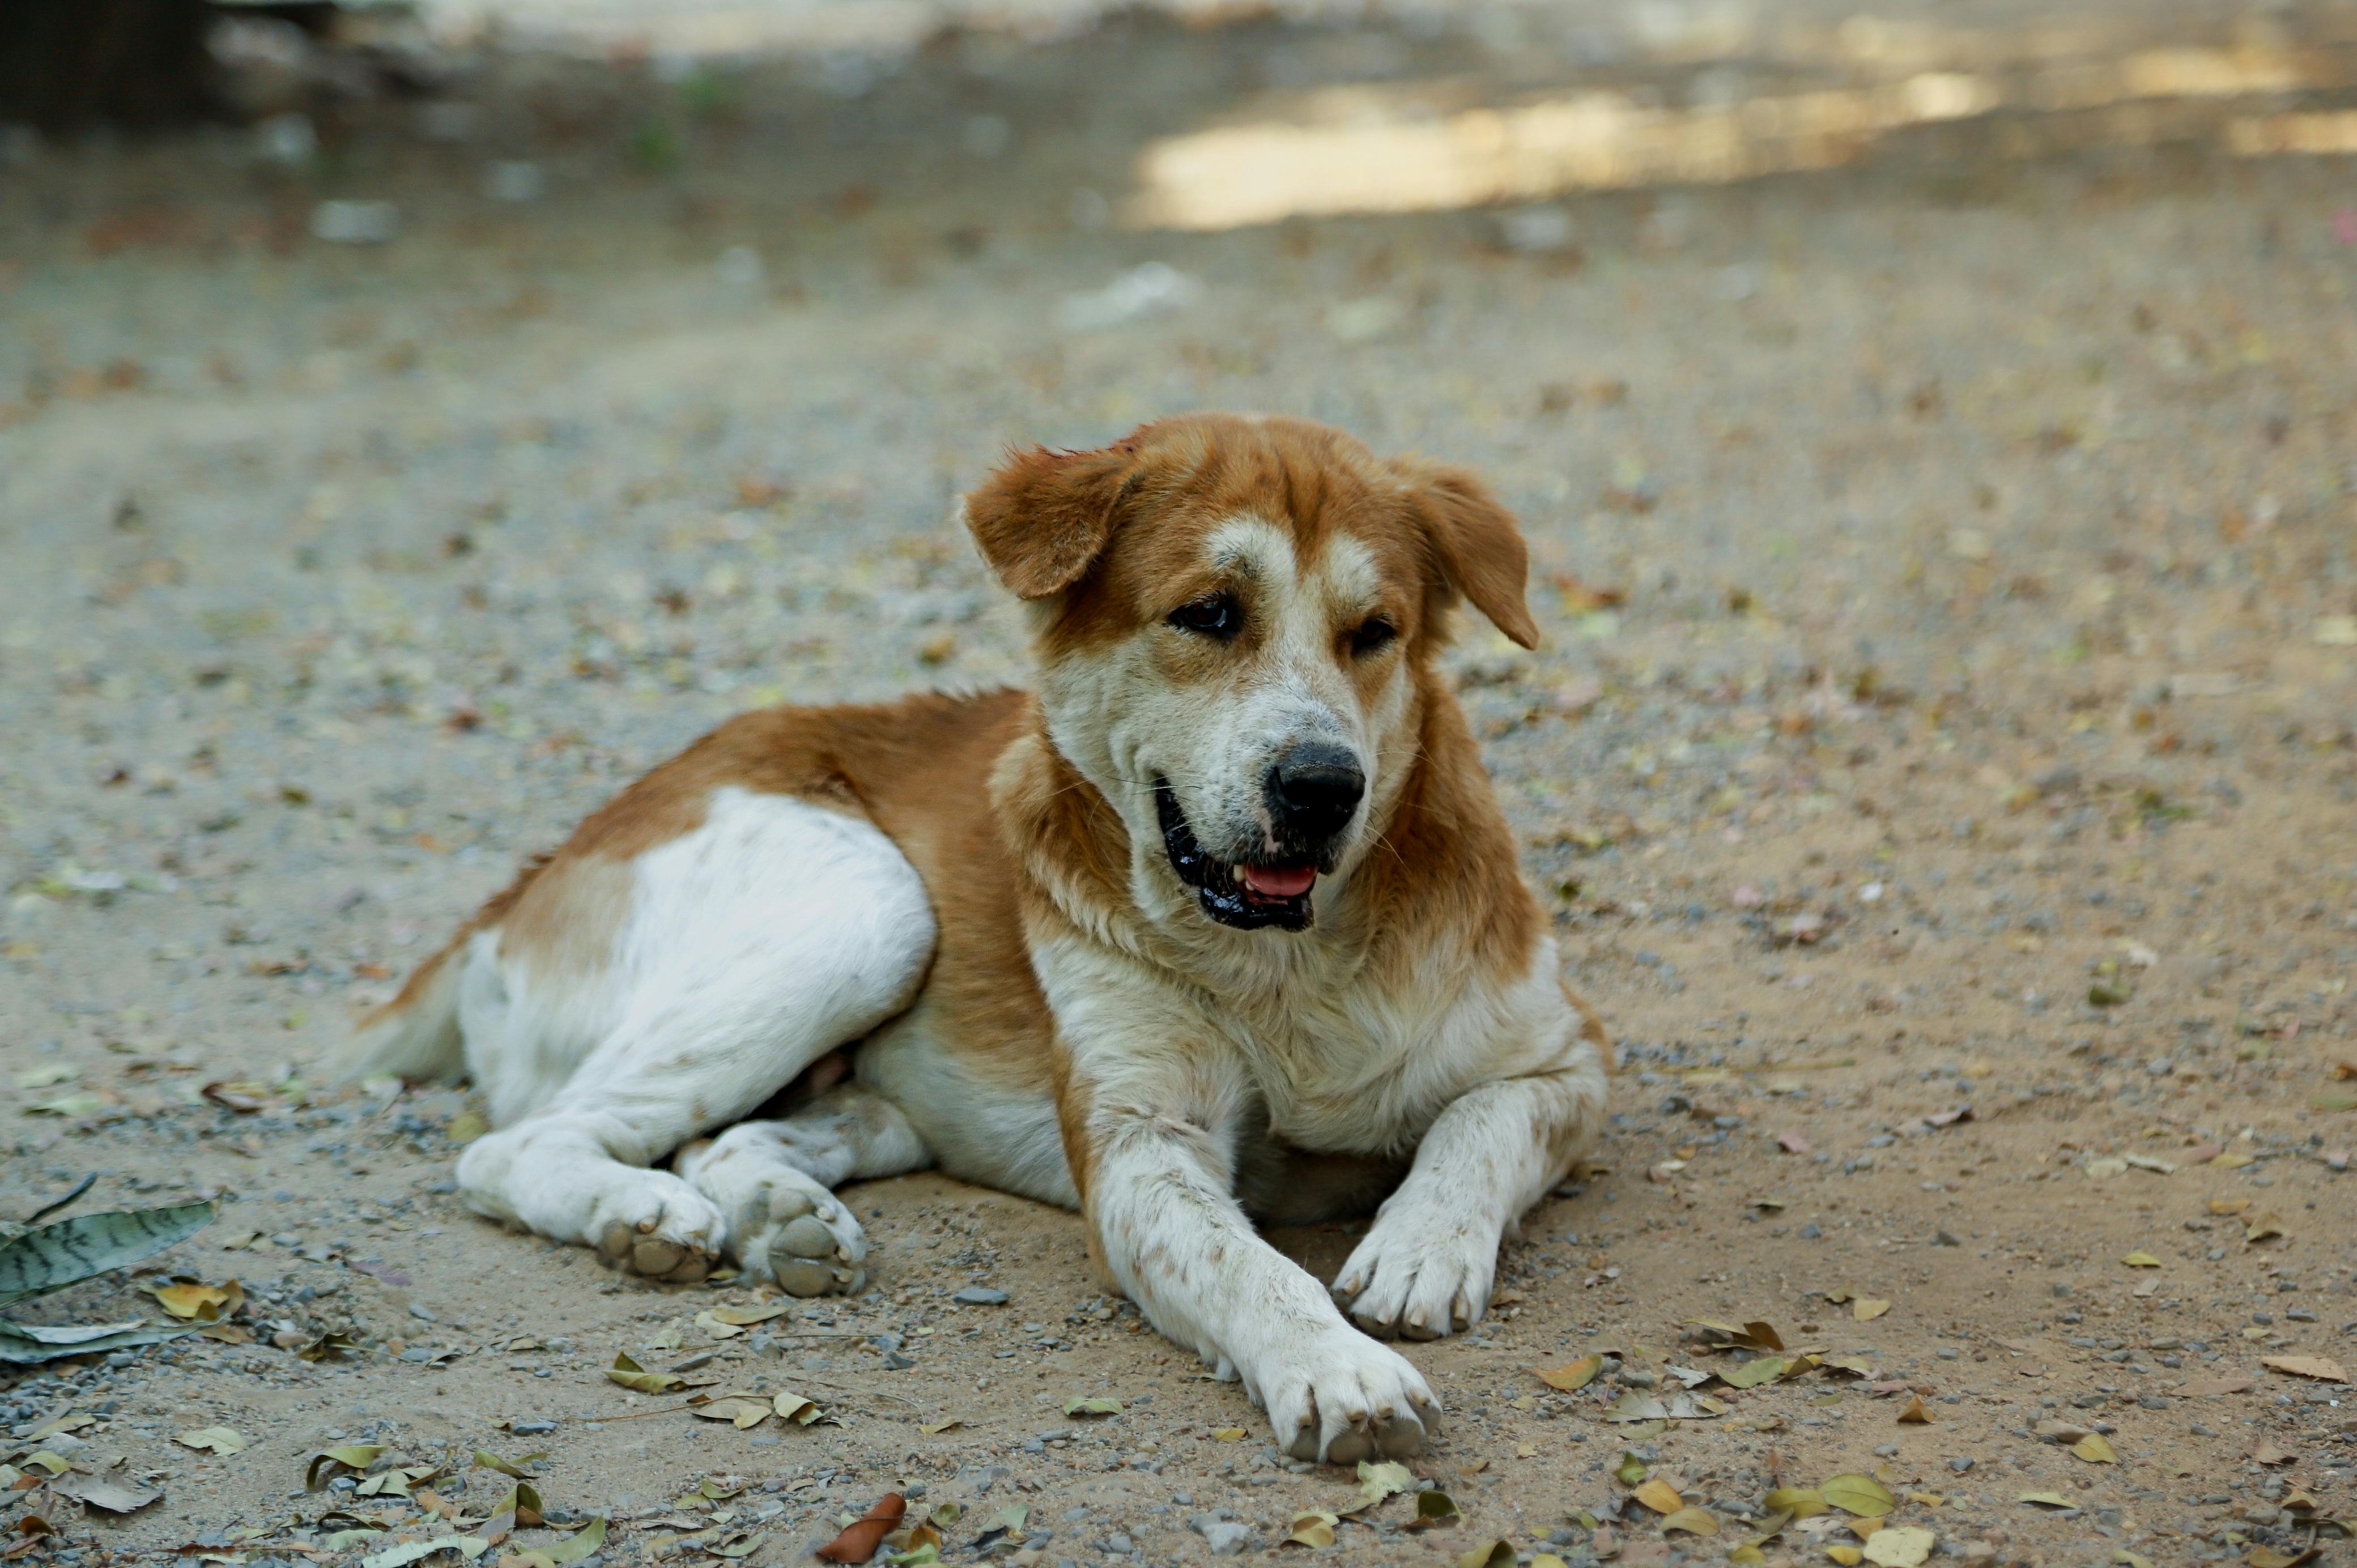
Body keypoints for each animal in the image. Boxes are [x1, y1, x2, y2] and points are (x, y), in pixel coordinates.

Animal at [347, 413, 1610, 1464]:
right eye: (1209, 613)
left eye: (1375, 631)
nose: (1321, 786)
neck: (1287, 965)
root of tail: (532, 872)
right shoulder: (1140, 1145)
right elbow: (1249, 1268)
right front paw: (1341, 1371)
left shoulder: (1570, 1059)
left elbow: (1478, 1123)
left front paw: (1420, 1245)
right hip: (869, 906)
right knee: (513, 1147)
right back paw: (640, 1215)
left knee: (730, 1135)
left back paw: (781, 1218)